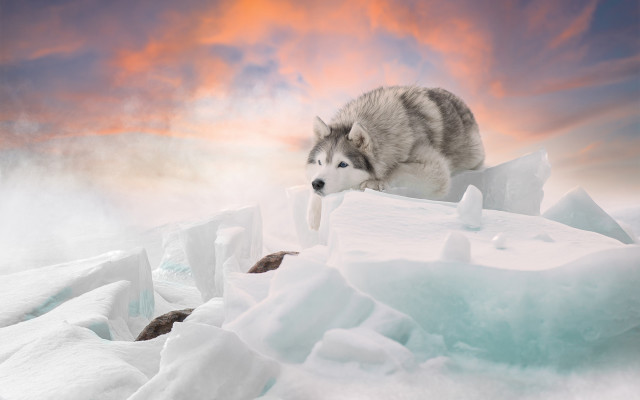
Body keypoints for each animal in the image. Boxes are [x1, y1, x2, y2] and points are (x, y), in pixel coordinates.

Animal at [306, 86, 485, 230]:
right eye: (320, 162)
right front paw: (315, 215)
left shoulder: (436, 170)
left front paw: (374, 182)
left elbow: (397, 169)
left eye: (343, 164)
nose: (317, 184)